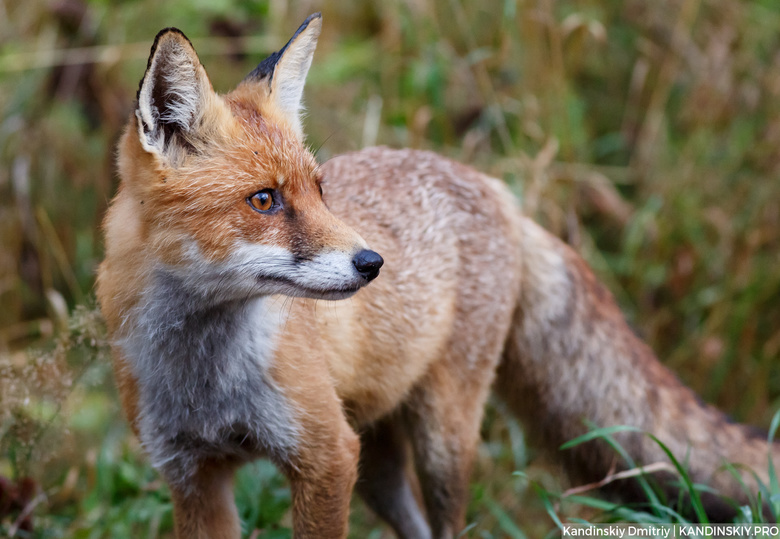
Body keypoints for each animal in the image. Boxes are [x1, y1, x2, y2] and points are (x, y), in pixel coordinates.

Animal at [97, 12, 780, 539]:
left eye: (320, 190)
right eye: (264, 200)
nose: (372, 263)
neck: (204, 379)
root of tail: (496, 188)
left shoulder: (325, 456)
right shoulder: (192, 473)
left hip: (441, 441)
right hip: (378, 463)